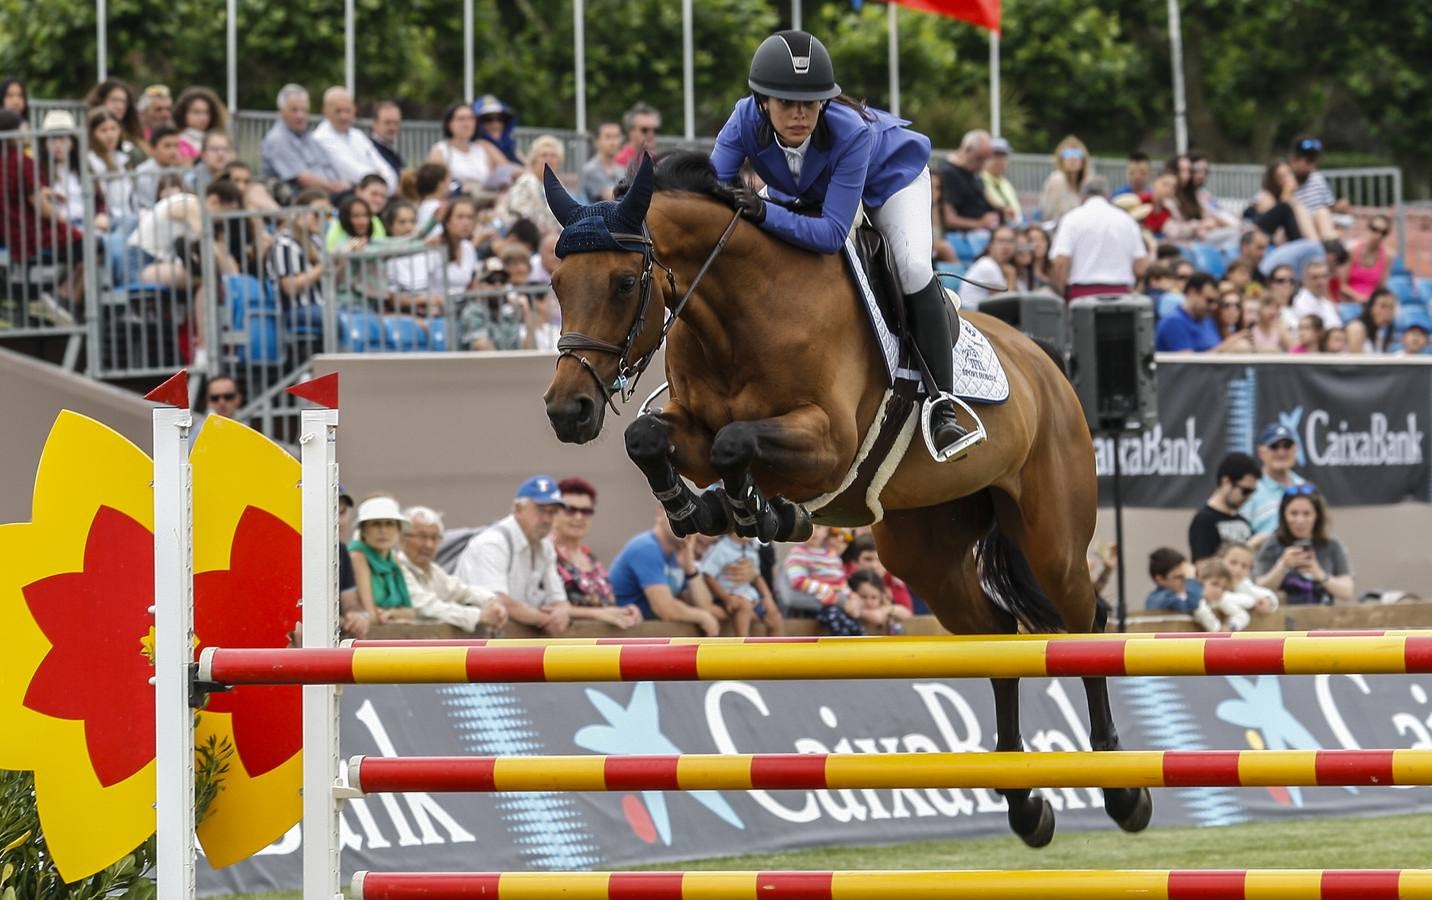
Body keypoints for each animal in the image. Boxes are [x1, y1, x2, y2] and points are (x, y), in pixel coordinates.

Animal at [538, 151, 1151, 848]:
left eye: (621, 283)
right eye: (556, 285)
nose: (568, 410)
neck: (740, 312)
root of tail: (1047, 365)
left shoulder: (827, 442)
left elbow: (732, 443)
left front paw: (759, 509)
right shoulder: (689, 427)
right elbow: (653, 439)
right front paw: (715, 510)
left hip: (1051, 537)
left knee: (1086, 625)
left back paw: (1121, 788)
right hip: (926, 555)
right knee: (996, 638)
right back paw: (1026, 805)